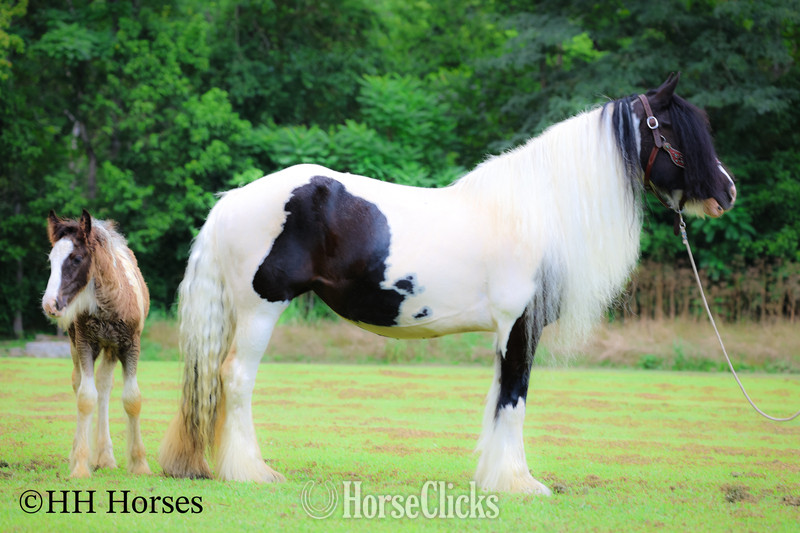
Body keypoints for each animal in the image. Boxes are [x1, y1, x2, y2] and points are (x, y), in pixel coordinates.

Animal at [42, 210, 151, 478]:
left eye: (77, 258)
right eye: (51, 260)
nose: (50, 304)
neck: (110, 302)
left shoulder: (130, 346)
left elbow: (132, 399)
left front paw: (140, 464)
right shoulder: (85, 343)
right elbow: (85, 397)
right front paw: (80, 465)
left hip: (110, 348)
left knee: (104, 386)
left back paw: (106, 457)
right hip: (76, 344)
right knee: (80, 383)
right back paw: (87, 454)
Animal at [159, 74, 736, 493]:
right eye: (676, 132)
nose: (726, 193)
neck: (536, 212)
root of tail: (233, 200)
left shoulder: (508, 332)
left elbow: (502, 399)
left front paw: (498, 478)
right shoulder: (519, 327)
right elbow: (515, 398)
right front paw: (519, 484)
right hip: (261, 308)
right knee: (236, 379)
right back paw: (252, 471)